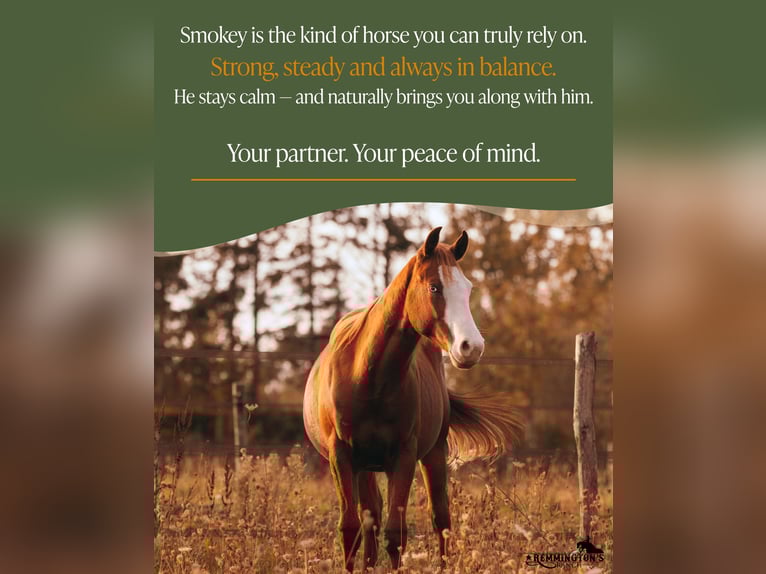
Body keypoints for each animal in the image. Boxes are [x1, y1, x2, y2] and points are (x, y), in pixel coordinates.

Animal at [303, 227, 524, 572]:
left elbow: (396, 535)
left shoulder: (404, 457)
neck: (369, 377)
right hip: (364, 466)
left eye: (467, 289)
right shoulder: (342, 457)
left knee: (440, 520)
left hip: (433, 454)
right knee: (371, 516)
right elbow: (351, 529)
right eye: (434, 286)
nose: (471, 347)